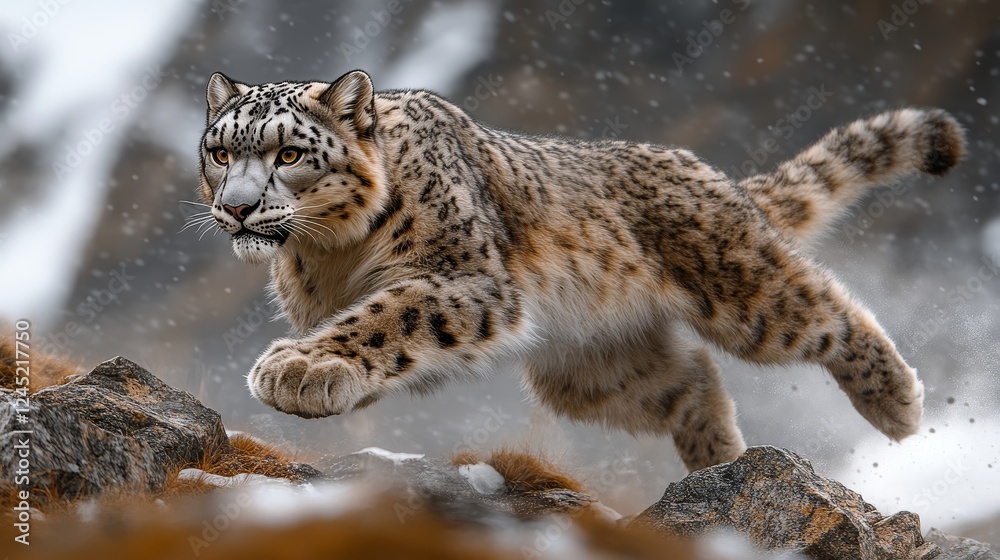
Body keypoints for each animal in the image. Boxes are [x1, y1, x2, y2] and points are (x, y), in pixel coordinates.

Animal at [197, 69, 964, 472]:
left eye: (289, 153)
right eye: (219, 151)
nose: (236, 209)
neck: (330, 252)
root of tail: (717, 178)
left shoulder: (469, 277)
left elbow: (388, 313)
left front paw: (299, 368)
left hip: (744, 291)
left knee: (829, 308)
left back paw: (898, 404)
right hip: (591, 368)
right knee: (692, 378)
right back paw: (719, 464)